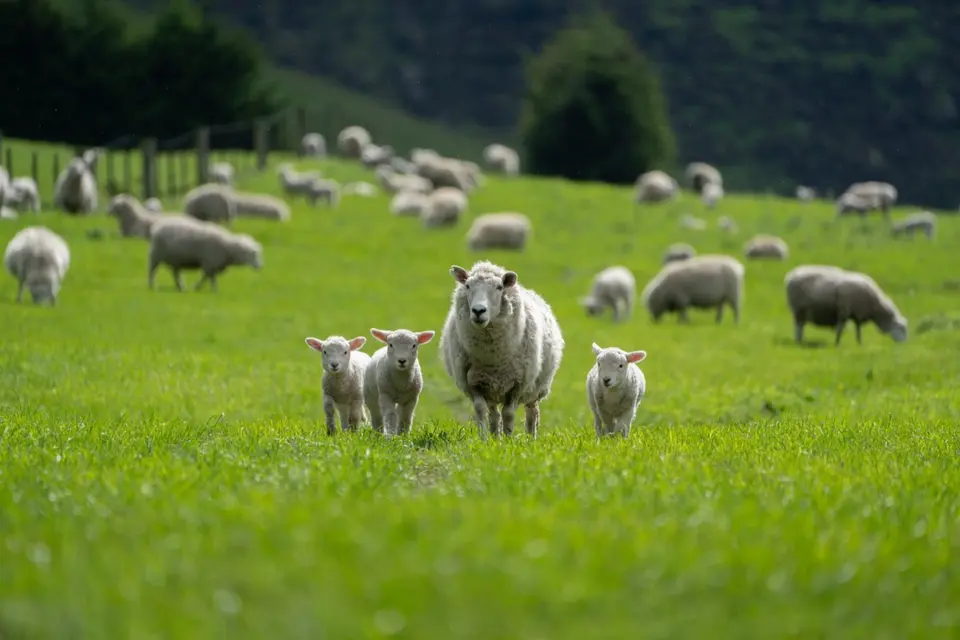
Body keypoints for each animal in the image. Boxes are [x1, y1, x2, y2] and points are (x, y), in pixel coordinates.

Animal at [439, 260, 565, 438]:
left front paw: (508, 439)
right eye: (468, 286)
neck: (492, 358)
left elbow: (509, 413)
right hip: (490, 387)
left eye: (499, 287)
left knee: (532, 413)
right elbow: (480, 410)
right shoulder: (473, 382)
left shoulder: (518, 384)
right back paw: (495, 436)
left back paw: (531, 438)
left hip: (535, 387)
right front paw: (484, 439)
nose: (478, 311)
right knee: (493, 414)